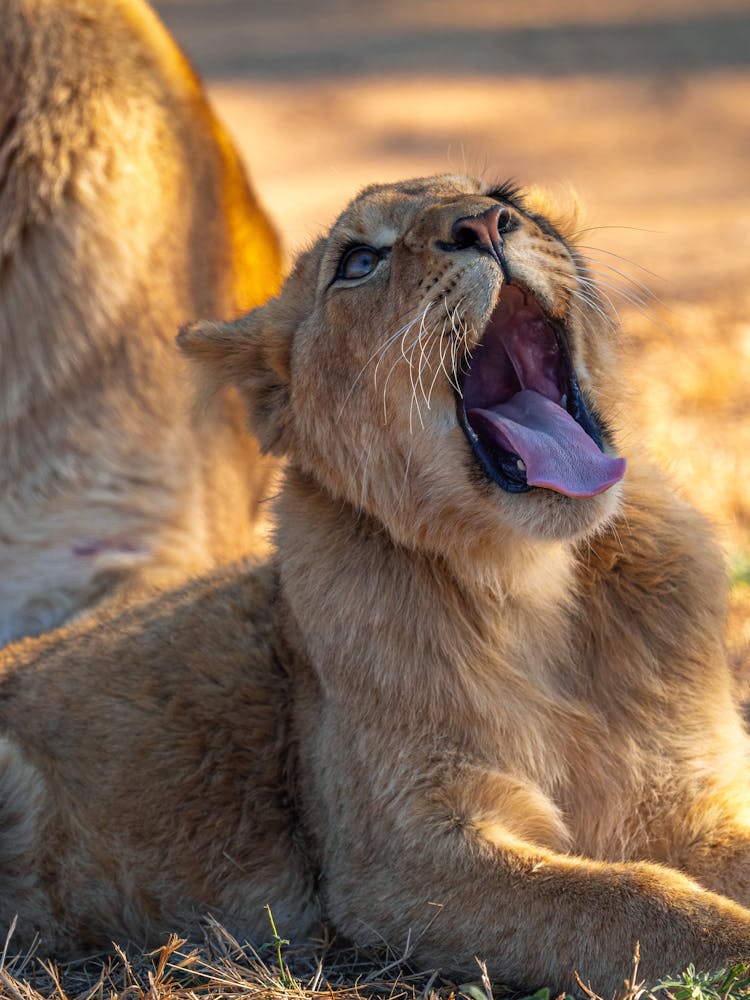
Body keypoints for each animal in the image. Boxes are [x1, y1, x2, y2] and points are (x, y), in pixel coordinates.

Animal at [1, 176, 750, 996]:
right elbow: (632, 901)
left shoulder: (688, 797)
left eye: (507, 197)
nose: (485, 224)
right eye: (360, 261)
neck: (535, 589)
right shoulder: (399, 865)